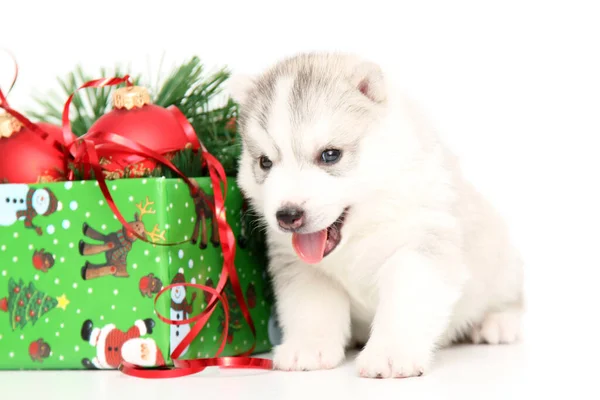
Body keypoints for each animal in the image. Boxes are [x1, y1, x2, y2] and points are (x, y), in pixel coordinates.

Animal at [227, 53, 524, 378]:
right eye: (265, 162)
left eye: (330, 155)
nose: (287, 215)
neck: (363, 230)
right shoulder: (303, 269)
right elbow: (310, 308)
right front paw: (308, 347)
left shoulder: (420, 246)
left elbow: (403, 302)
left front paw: (390, 353)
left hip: (503, 263)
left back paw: (498, 321)